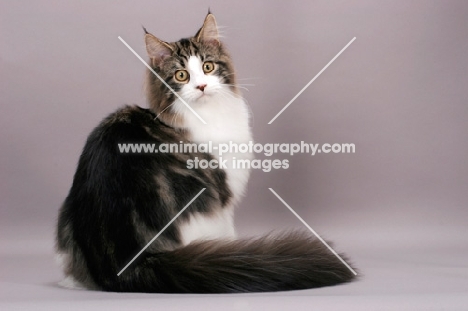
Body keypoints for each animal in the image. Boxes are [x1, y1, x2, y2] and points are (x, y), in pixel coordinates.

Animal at [55, 12, 354, 294]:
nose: (201, 87)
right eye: (182, 75)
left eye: (208, 67)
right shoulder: (224, 192)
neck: (209, 113)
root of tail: (124, 262)